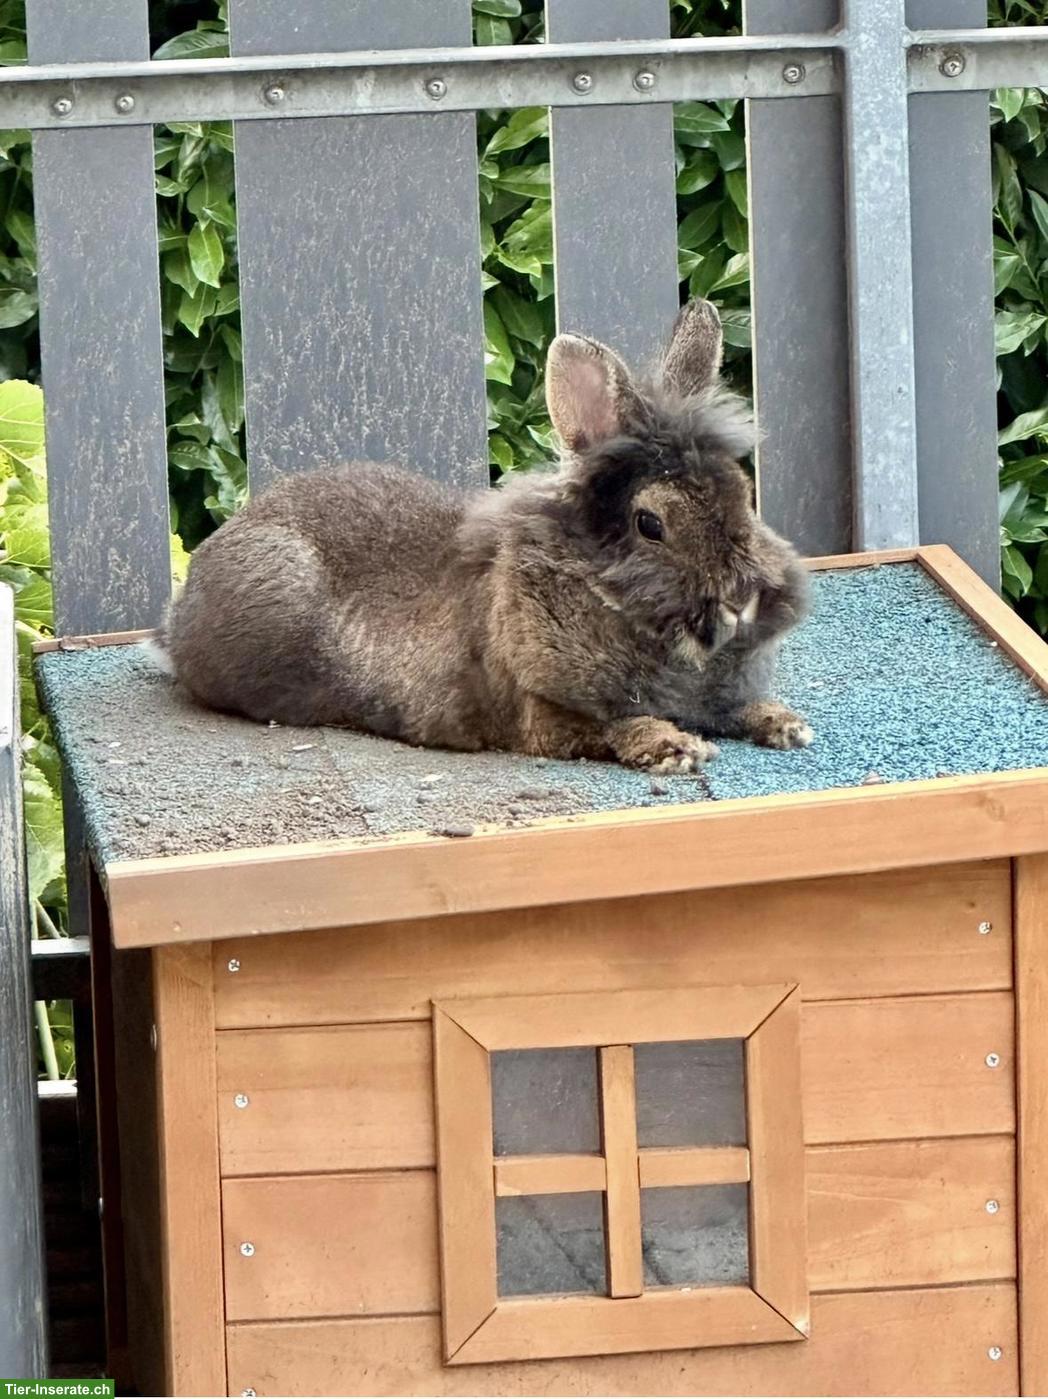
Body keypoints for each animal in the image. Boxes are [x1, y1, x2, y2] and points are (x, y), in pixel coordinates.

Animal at [159, 298, 811, 774]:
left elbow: (740, 708)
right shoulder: (540, 715)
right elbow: (612, 726)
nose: (741, 598)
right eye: (651, 524)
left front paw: (787, 724)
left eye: (744, 494)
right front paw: (677, 748)